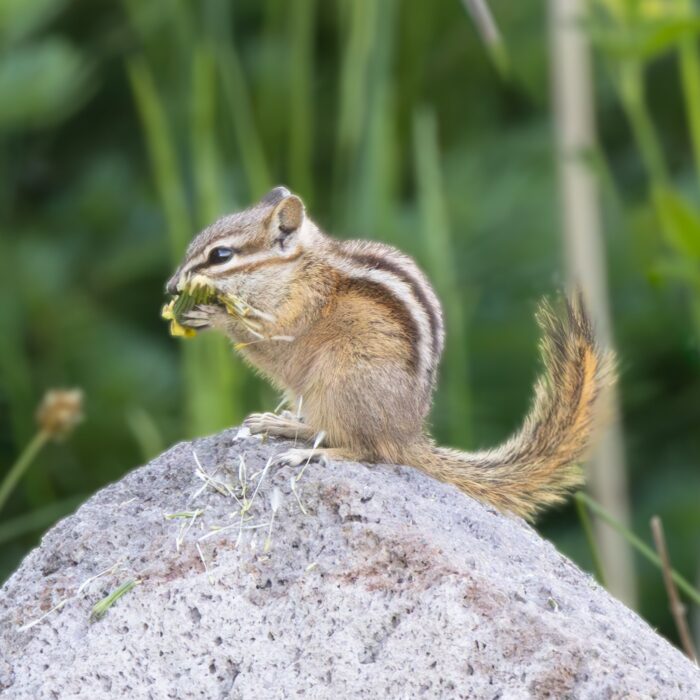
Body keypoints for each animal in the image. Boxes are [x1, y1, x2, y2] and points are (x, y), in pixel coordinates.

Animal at [166, 186, 615, 521]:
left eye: (221, 255)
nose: (171, 287)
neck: (295, 270)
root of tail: (406, 434)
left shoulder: (298, 312)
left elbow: (270, 339)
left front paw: (209, 312)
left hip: (343, 379)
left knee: (368, 450)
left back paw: (311, 454)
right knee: (329, 430)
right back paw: (283, 426)